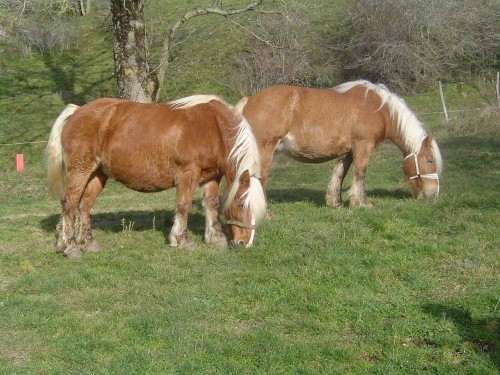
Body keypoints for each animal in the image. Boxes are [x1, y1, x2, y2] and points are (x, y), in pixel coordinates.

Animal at [45, 94, 268, 258]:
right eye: (241, 204)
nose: (244, 243)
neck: (214, 127)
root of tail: (77, 111)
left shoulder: (211, 176)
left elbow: (211, 204)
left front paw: (215, 237)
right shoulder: (188, 174)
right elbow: (183, 206)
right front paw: (181, 240)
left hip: (98, 175)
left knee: (84, 206)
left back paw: (88, 243)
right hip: (80, 170)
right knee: (69, 202)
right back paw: (69, 247)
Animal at [236, 80, 444, 209]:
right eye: (430, 160)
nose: (434, 193)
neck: (380, 109)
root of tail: (249, 100)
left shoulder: (348, 152)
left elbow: (340, 174)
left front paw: (335, 201)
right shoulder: (363, 146)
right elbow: (360, 173)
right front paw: (361, 203)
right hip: (264, 151)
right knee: (259, 179)